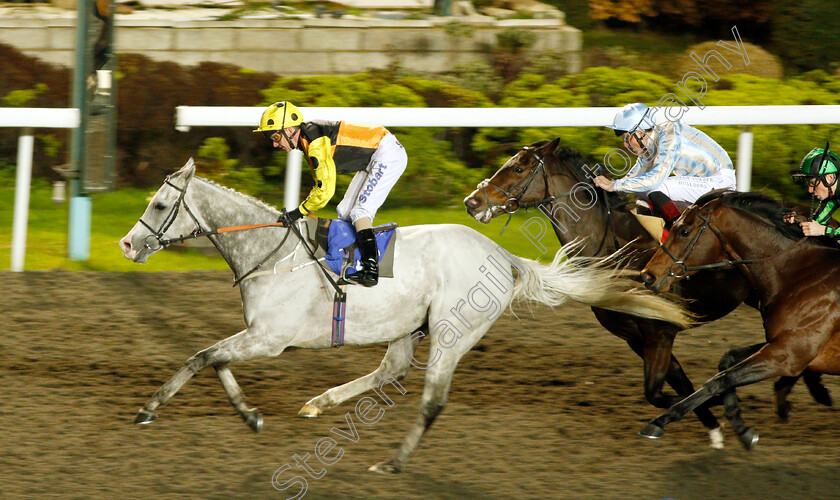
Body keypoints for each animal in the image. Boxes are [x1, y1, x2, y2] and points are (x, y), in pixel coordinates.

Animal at [120, 157, 696, 472]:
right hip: (409, 327)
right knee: (389, 370)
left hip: (450, 334)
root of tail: (503, 256)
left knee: (430, 401)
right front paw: (250, 413)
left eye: (157, 206)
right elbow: (212, 359)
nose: (126, 245)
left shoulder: (270, 337)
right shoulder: (260, 335)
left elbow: (202, 357)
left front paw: (151, 409)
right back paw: (320, 404)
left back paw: (392, 462)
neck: (270, 253)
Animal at [640, 189, 836, 444]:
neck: (799, 273)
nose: (648, 276)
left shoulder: (788, 354)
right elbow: (727, 362)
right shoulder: (782, 345)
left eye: (684, 231)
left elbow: (720, 379)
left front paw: (660, 421)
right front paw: (741, 425)